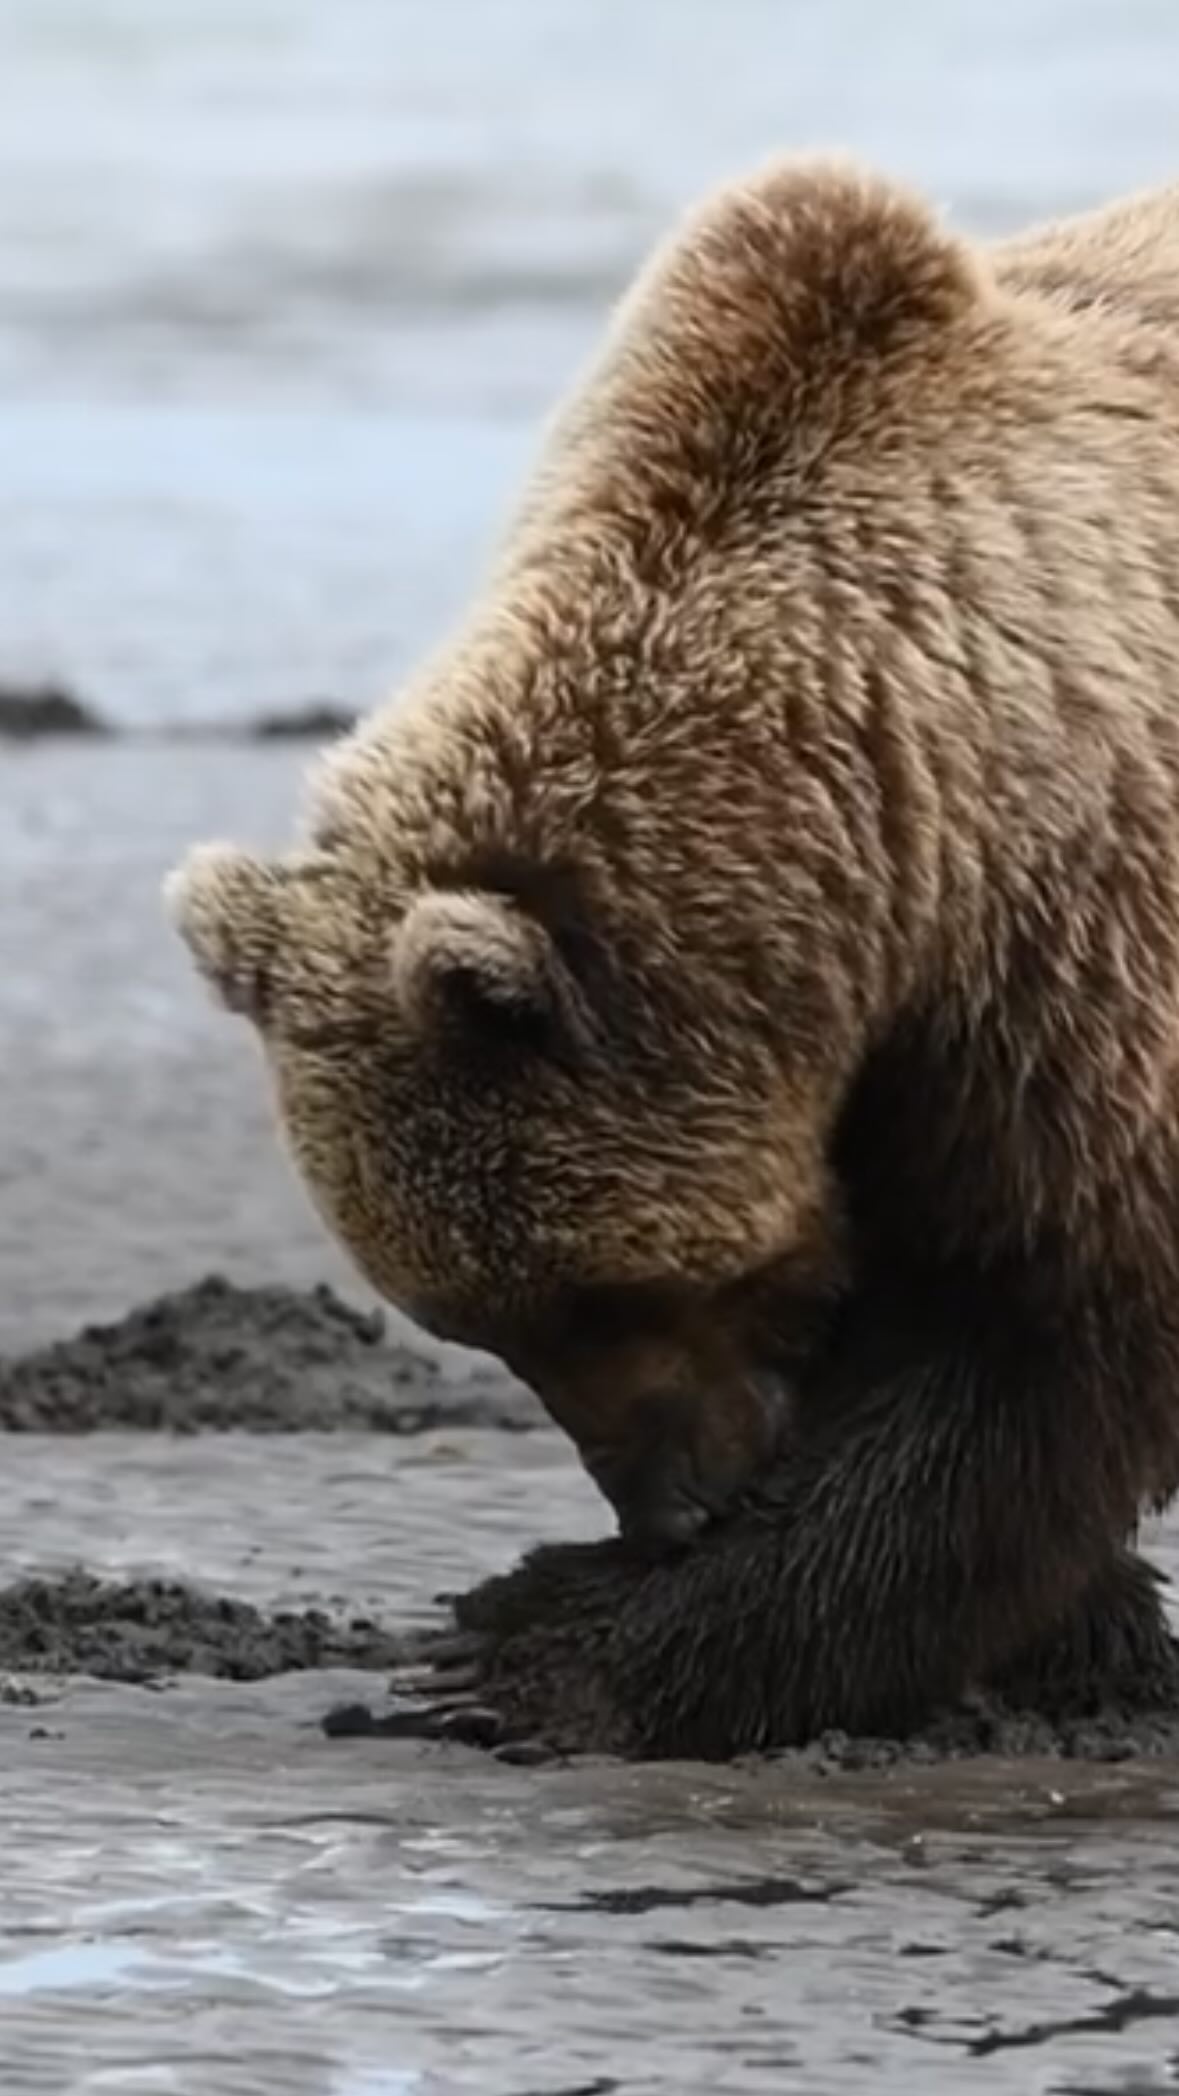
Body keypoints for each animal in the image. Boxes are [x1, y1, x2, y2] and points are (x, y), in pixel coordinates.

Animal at [167, 156, 1179, 1759]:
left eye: (609, 1291)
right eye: (480, 1327)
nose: (670, 1508)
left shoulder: (1071, 954)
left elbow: (1035, 1349)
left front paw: (548, 1648)